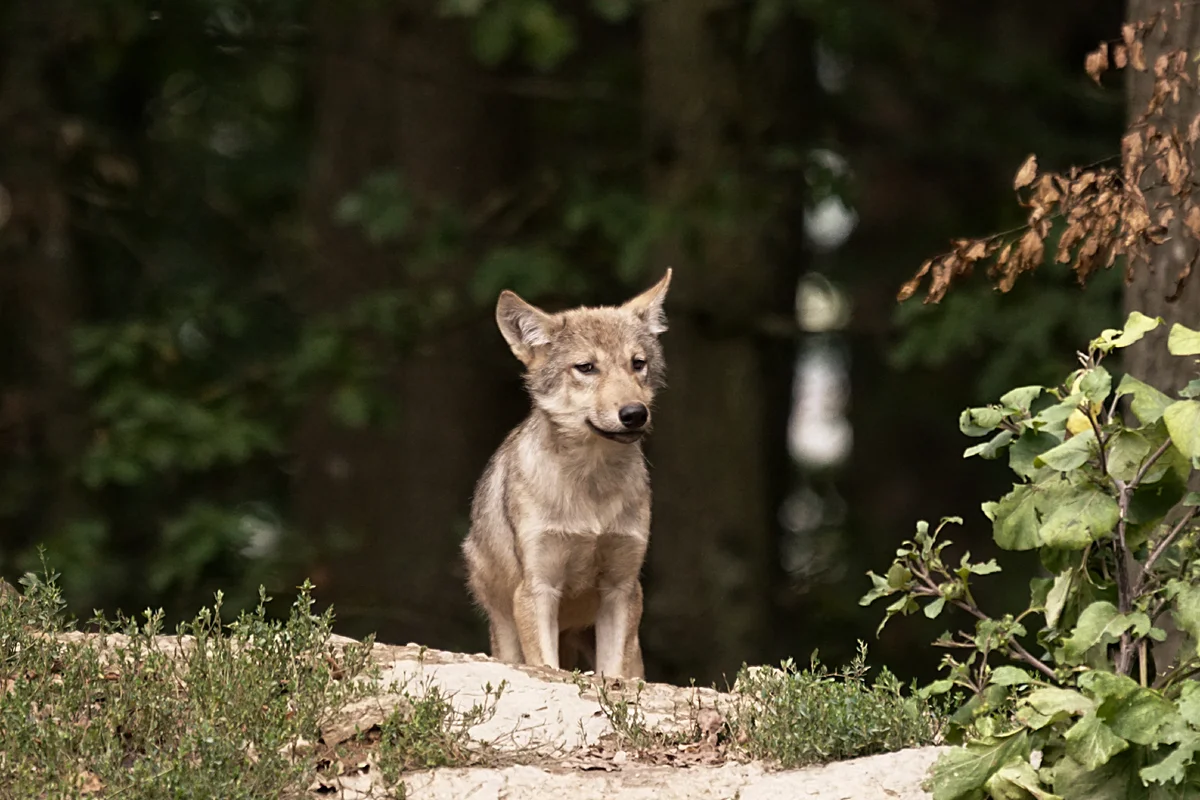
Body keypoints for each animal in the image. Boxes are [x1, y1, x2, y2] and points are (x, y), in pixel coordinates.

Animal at [460, 267, 676, 676]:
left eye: (637, 363)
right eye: (587, 367)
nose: (634, 413)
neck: (591, 487)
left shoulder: (622, 588)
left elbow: (612, 673)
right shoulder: (537, 588)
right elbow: (547, 666)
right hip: (506, 631)